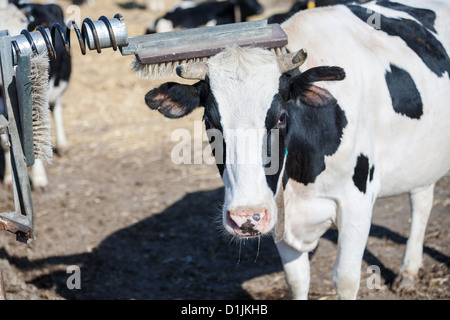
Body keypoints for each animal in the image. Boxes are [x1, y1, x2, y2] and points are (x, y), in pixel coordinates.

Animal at [145, 0, 450, 300]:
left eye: (281, 117)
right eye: (209, 121)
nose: (246, 218)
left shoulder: (357, 202)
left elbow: (346, 279)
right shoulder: (278, 210)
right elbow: (297, 280)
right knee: (422, 200)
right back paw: (408, 272)